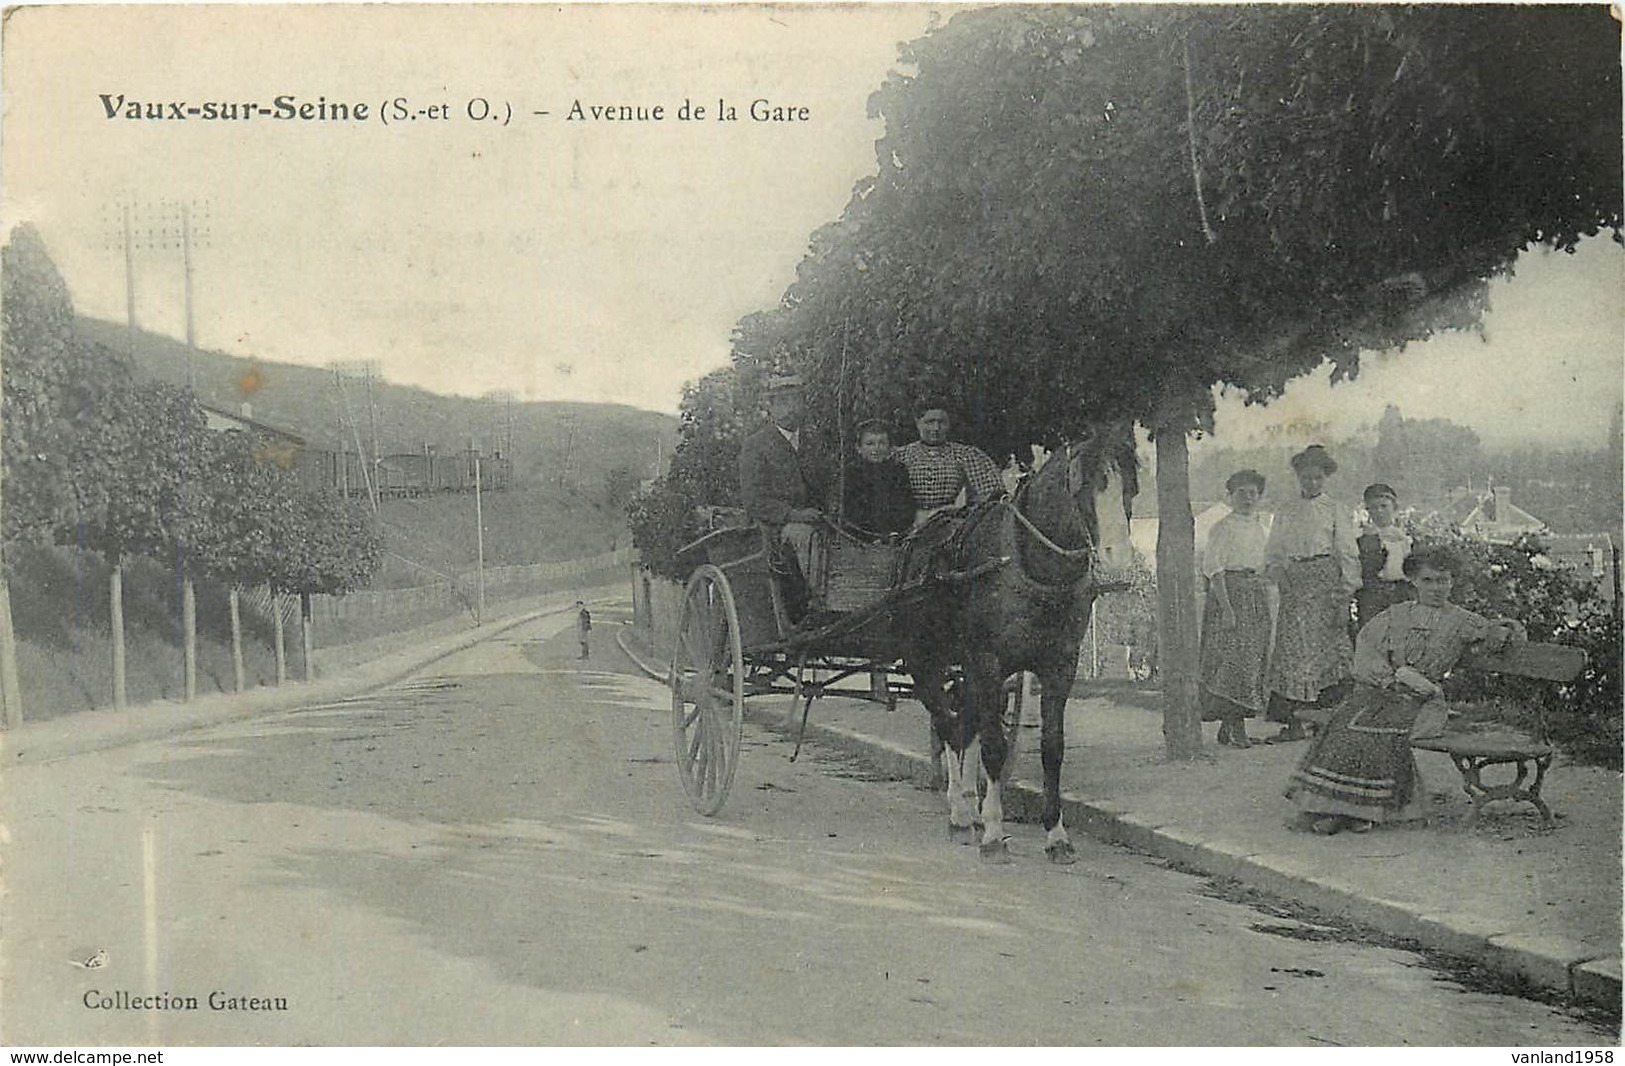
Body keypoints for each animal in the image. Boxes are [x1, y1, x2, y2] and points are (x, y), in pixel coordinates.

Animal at [897, 425, 1137, 864]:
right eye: (1084, 484)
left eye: (1131, 484)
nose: (1118, 562)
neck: (1030, 565)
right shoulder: (988, 661)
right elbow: (994, 745)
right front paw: (994, 832)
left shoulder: (1060, 665)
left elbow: (1051, 748)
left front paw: (1056, 834)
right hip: (925, 659)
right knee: (946, 723)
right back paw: (960, 812)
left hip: (965, 665)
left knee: (964, 723)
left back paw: (970, 805)